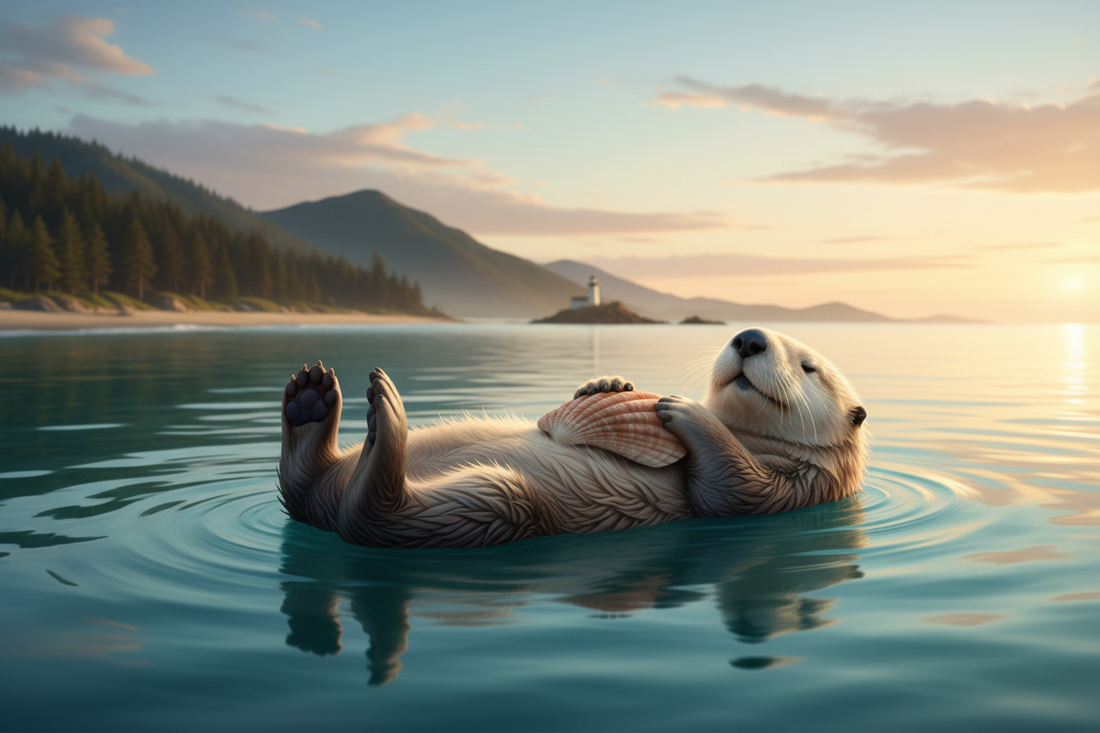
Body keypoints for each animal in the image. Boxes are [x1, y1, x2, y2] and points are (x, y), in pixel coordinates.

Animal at [278, 327, 868, 548]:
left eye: (809, 367)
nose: (748, 338)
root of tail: (324, 512)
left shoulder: (795, 488)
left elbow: (732, 489)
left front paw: (684, 411)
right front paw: (607, 385)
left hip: (495, 506)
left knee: (370, 516)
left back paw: (385, 412)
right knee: (304, 485)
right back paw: (310, 401)